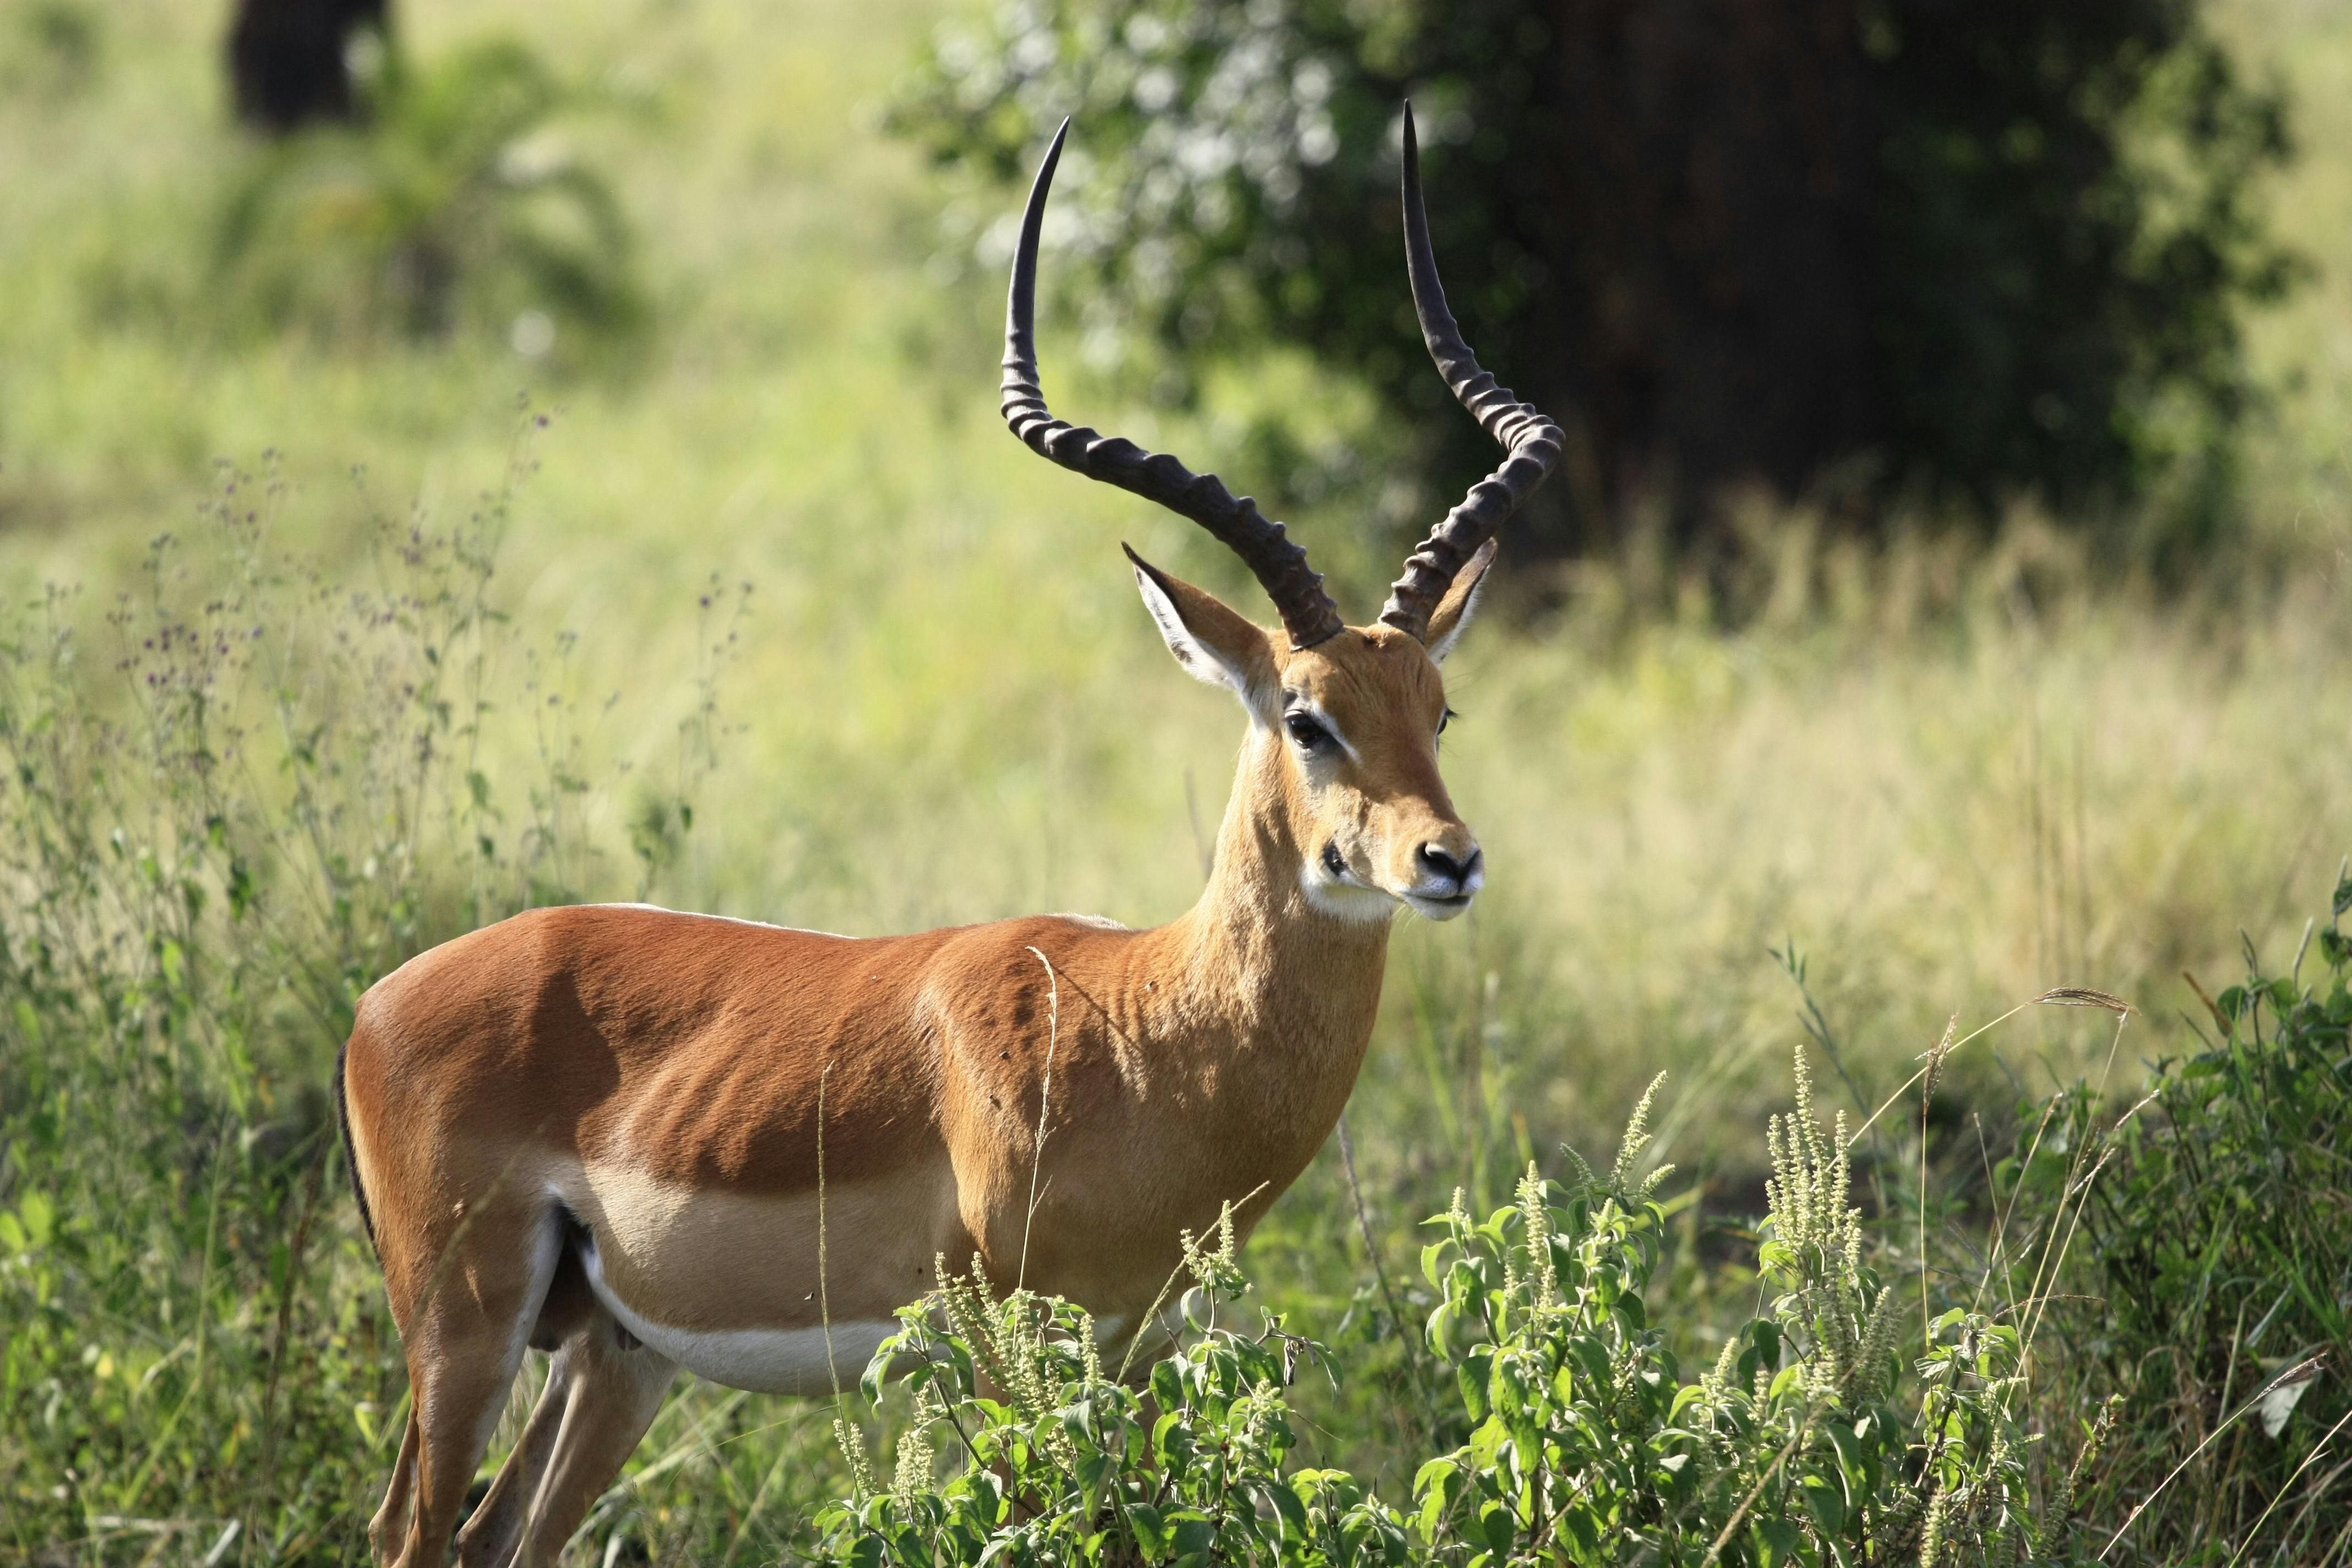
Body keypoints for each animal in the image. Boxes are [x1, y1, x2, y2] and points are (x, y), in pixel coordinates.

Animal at [343, 110, 1561, 1568]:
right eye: (1309, 718)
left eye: (1439, 706)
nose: (1449, 859)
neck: (1146, 1024)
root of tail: (378, 999)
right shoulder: (1007, 1353)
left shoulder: (1133, 1347)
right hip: (463, 1330)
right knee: (411, 1527)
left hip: (615, 1353)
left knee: (499, 1534)